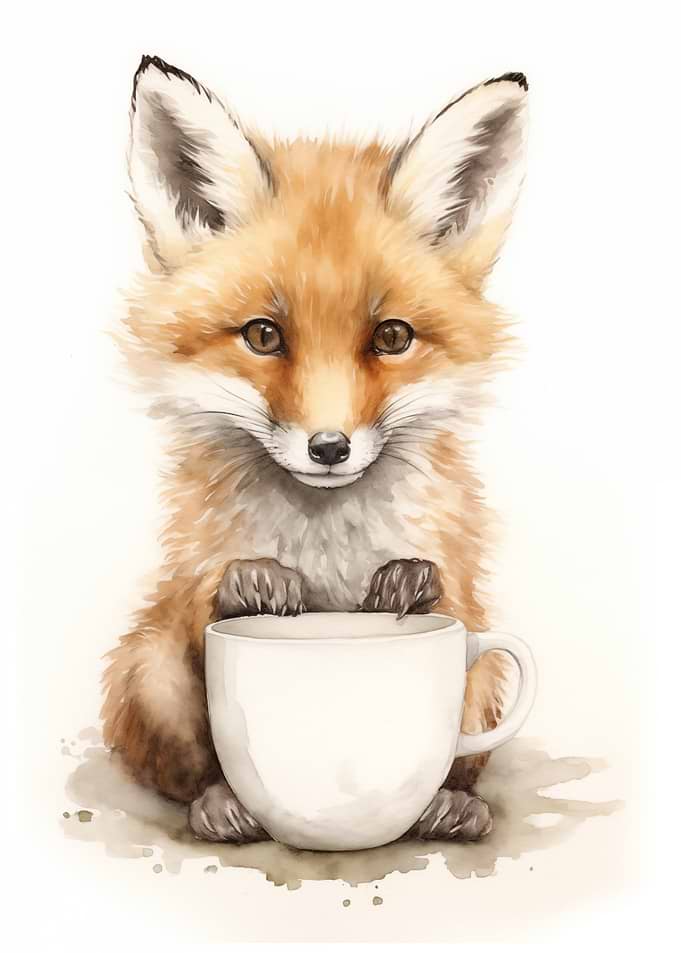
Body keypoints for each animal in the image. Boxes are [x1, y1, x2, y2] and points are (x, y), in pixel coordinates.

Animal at [101, 55, 528, 844]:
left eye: (391, 336)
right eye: (263, 335)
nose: (328, 447)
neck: (325, 543)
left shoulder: (461, 581)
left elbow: (446, 593)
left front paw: (409, 581)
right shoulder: (188, 581)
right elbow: (206, 605)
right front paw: (253, 583)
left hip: (487, 676)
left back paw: (448, 806)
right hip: (142, 669)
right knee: (175, 757)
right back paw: (221, 804)